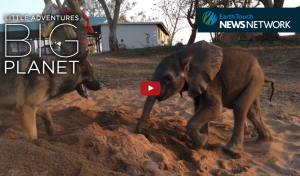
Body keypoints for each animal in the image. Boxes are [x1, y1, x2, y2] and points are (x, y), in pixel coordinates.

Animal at [136, 41, 274, 155]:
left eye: (168, 78)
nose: (142, 134)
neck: (184, 57)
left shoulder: (212, 81)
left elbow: (214, 108)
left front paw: (201, 142)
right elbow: (200, 107)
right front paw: (204, 146)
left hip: (255, 78)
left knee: (240, 107)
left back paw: (231, 151)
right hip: (254, 80)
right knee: (251, 111)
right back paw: (264, 140)